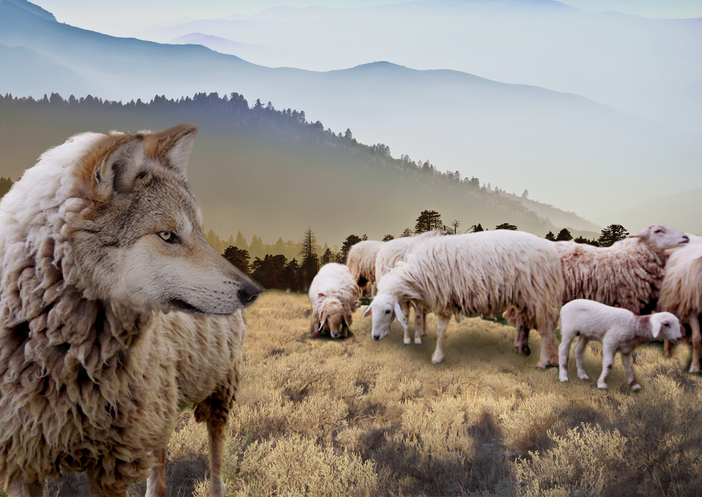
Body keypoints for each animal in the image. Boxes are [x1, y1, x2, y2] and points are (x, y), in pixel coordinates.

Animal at [0, 124, 260, 496]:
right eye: (167, 235)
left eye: (197, 230)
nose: (253, 292)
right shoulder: (23, 459)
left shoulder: (112, 463)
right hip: (161, 405)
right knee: (160, 462)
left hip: (217, 395)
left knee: (215, 454)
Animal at [363, 230, 564, 368]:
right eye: (373, 310)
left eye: (388, 311)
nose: (375, 337)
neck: (417, 274)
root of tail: (552, 251)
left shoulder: (443, 298)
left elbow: (441, 330)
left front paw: (437, 356)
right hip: (525, 298)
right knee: (529, 325)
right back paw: (528, 351)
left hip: (539, 295)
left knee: (546, 331)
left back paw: (543, 361)